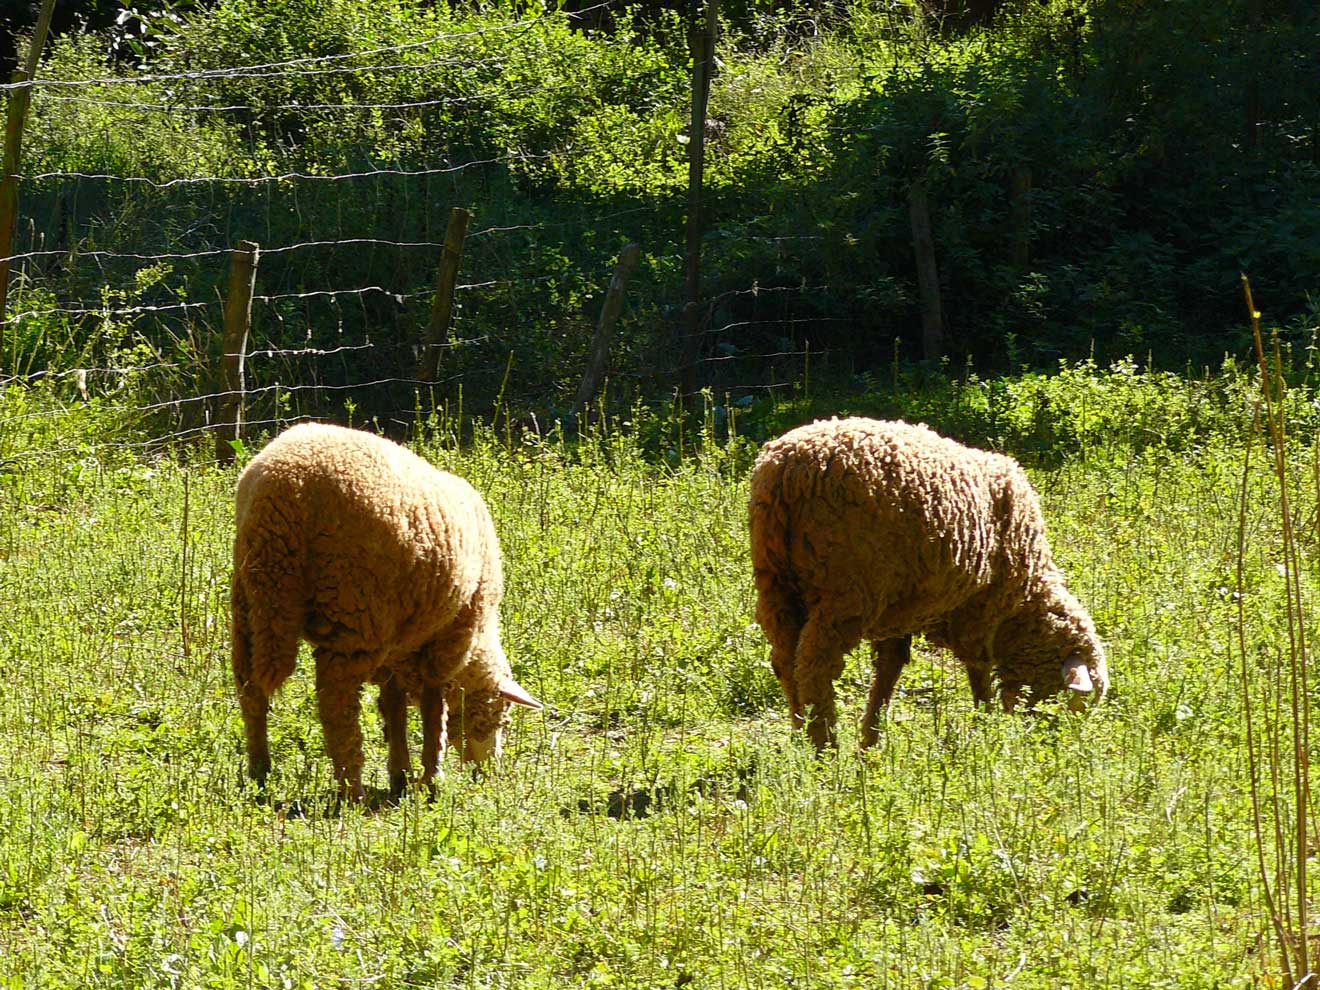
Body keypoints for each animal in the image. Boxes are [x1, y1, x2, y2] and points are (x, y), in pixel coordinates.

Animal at [230, 422, 541, 802]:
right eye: (500, 715)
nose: (488, 773)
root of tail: (282, 488)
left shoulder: (397, 643)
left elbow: (393, 705)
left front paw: (401, 774)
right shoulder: (447, 642)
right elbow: (433, 708)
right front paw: (430, 776)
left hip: (249, 603)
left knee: (251, 691)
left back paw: (260, 772)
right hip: (353, 610)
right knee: (337, 706)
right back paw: (352, 790)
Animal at [748, 416, 1107, 750]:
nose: (1049, 742)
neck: (1024, 599)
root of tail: (788, 472)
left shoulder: (901, 611)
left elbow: (889, 669)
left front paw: (870, 742)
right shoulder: (979, 612)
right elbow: (977, 670)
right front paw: (986, 725)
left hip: (775, 582)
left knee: (784, 661)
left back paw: (801, 735)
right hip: (847, 592)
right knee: (813, 669)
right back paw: (825, 749)